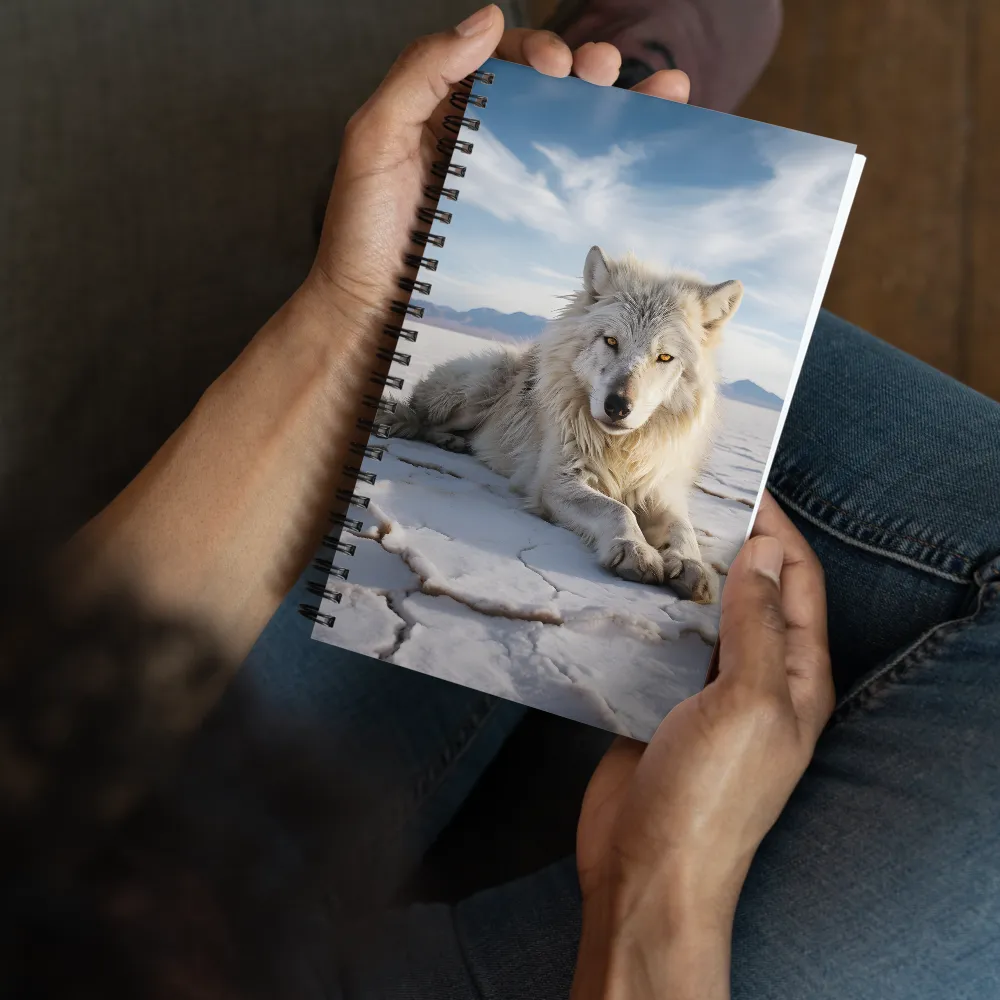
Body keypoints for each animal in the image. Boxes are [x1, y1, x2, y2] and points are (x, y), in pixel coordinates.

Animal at [382, 246, 744, 604]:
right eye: (611, 341)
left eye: (664, 357)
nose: (617, 406)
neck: (621, 449)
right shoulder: (557, 482)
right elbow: (616, 510)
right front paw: (634, 549)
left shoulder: (659, 489)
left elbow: (683, 528)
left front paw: (690, 564)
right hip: (479, 392)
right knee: (420, 417)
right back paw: (437, 435)